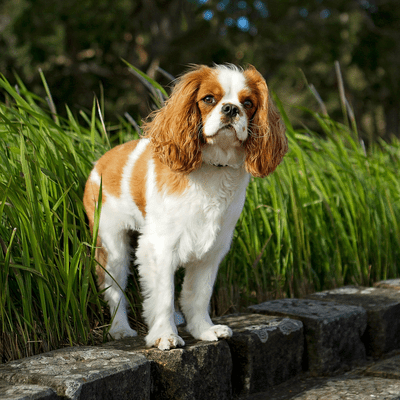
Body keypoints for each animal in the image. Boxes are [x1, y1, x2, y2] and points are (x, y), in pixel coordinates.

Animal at [83, 63, 288, 350]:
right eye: (209, 99)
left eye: (248, 103)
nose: (231, 109)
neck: (215, 168)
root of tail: (100, 162)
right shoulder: (159, 246)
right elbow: (163, 295)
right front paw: (164, 335)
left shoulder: (212, 249)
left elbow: (198, 294)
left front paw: (204, 330)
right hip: (111, 245)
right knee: (114, 289)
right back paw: (120, 329)